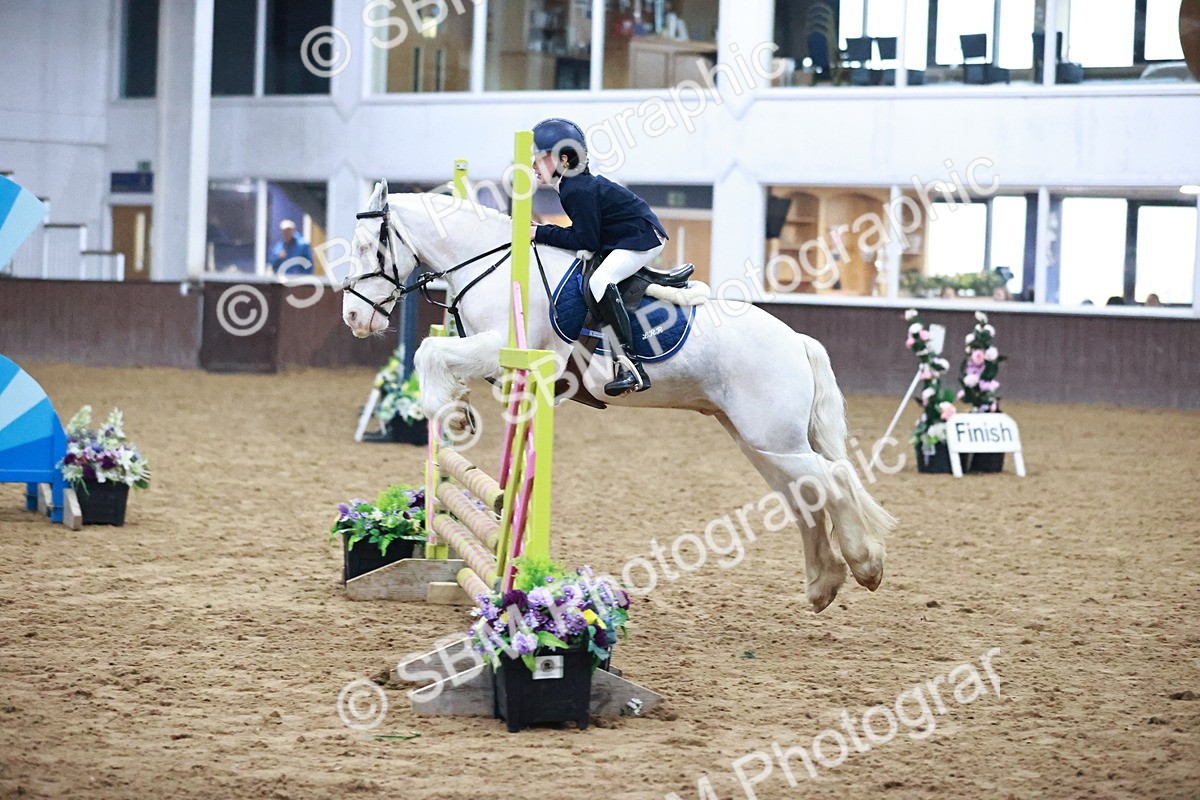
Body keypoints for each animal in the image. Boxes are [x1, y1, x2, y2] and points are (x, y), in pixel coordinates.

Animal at [341, 182, 894, 613]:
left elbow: (430, 353)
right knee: (807, 494)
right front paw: (455, 413)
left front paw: (449, 414)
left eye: (370, 247)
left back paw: (865, 566)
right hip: (760, 441)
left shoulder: (505, 348)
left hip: (773, 438)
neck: (495, 264)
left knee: (834, 478)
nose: (353, 317)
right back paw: (823, 584)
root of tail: (797, 340)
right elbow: (435, 353)